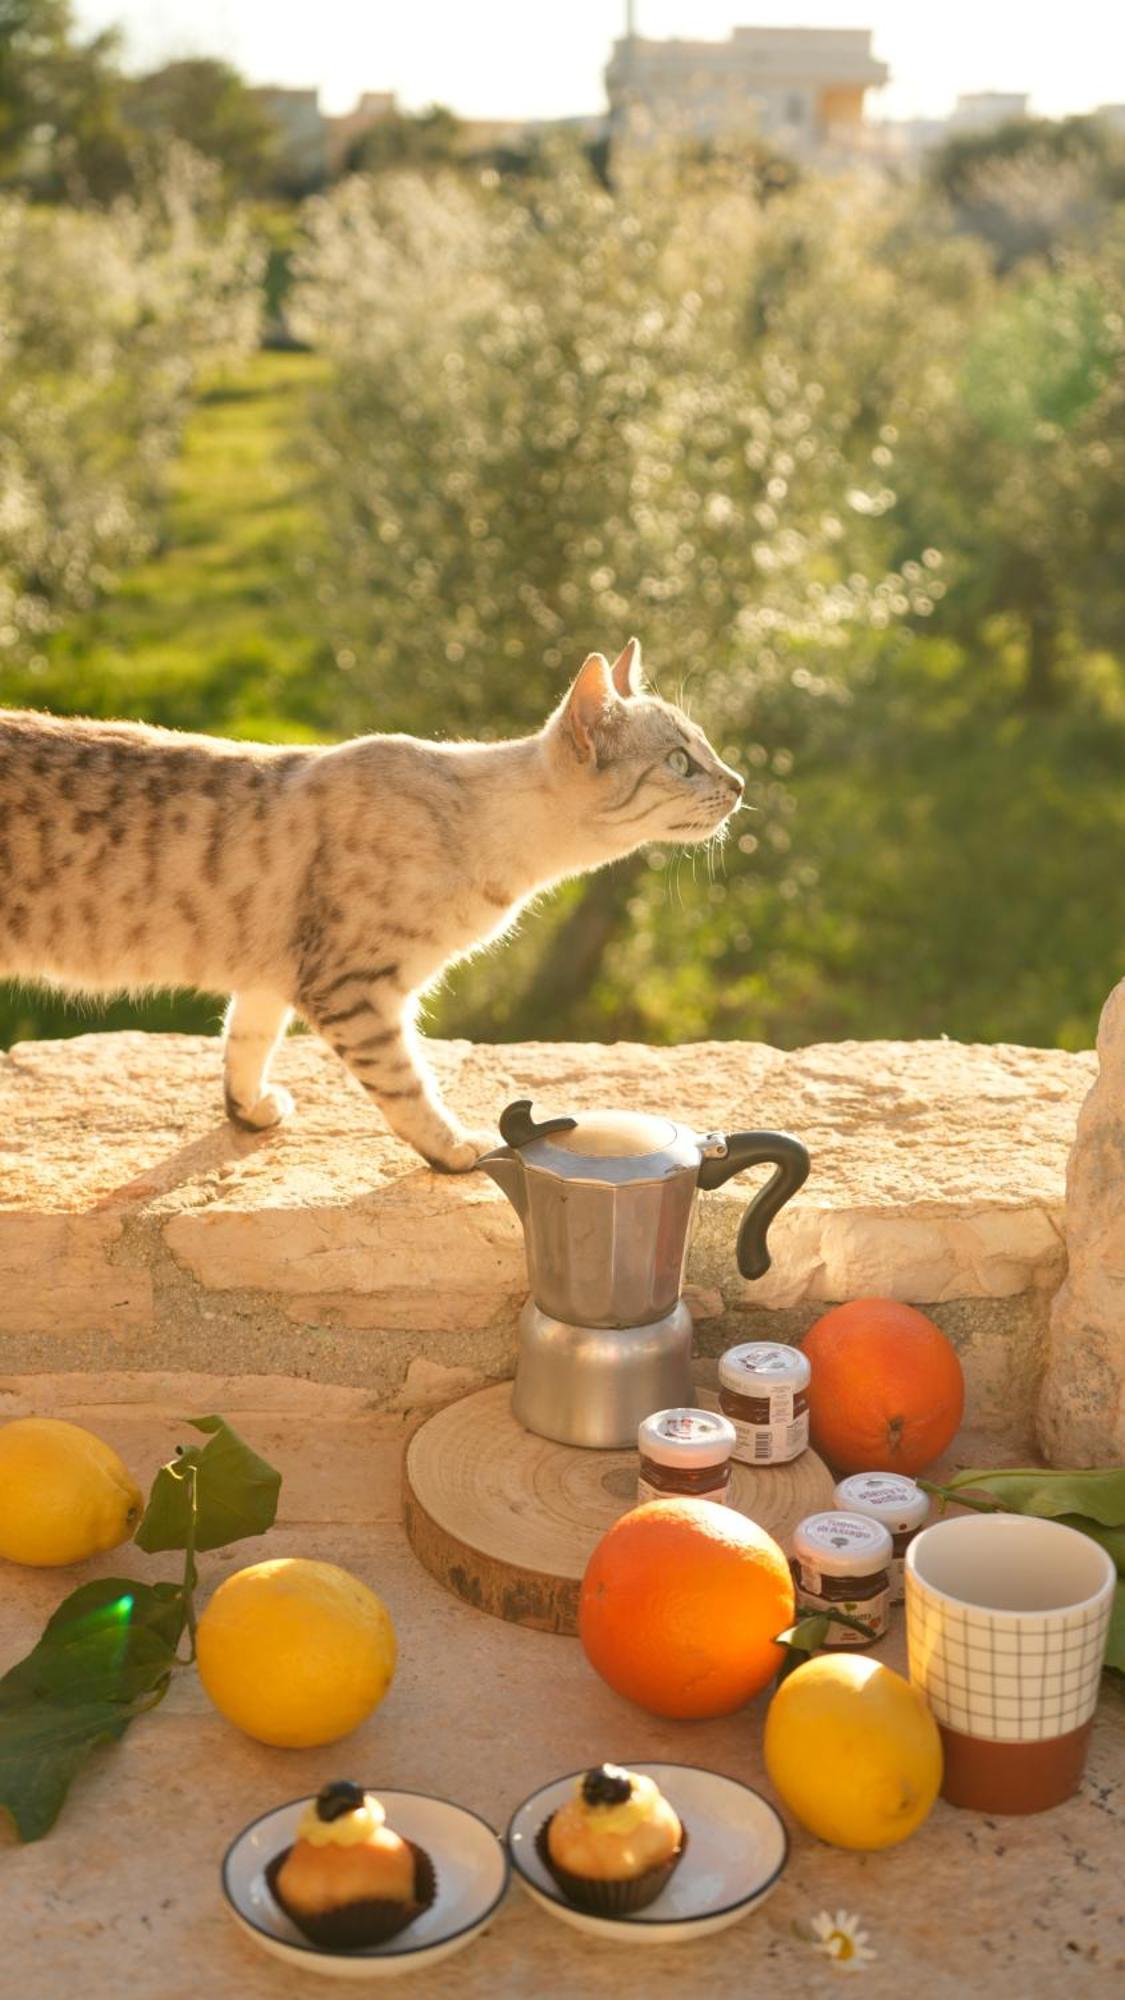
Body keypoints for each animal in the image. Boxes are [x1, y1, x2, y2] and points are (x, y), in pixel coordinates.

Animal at [2, 640, 744, 1168]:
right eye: (680, 762)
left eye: (708, 747)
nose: (739, 783)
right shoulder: (353, 987)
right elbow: (406, 1083)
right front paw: (455, 1147)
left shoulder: (276, 971)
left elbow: (246, 1038)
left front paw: (249, 1109)